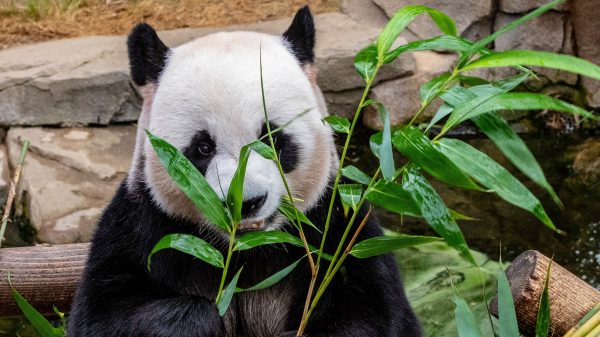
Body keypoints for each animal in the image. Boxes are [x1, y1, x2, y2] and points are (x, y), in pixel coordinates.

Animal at [68, 5, 420, 336]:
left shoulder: (338, 225)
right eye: (203, 148)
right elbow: (104, 312)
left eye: (272, 139)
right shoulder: (144, 227)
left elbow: (371, 310)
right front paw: (199, 320)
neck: (246, 250)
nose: (245, 202)